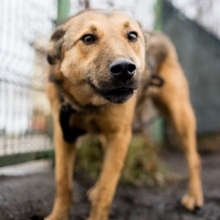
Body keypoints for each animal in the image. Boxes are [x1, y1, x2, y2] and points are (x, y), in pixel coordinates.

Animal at [44, 9, 203, 220]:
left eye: (132, 36)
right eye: (88, 38)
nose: (125, 69)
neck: (89, 104)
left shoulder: (119, 135)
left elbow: (106, 188)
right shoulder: (64, 135)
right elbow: (64, 183)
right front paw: (58, 215)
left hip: (179, 113)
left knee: (194, 159)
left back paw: (194, 196)